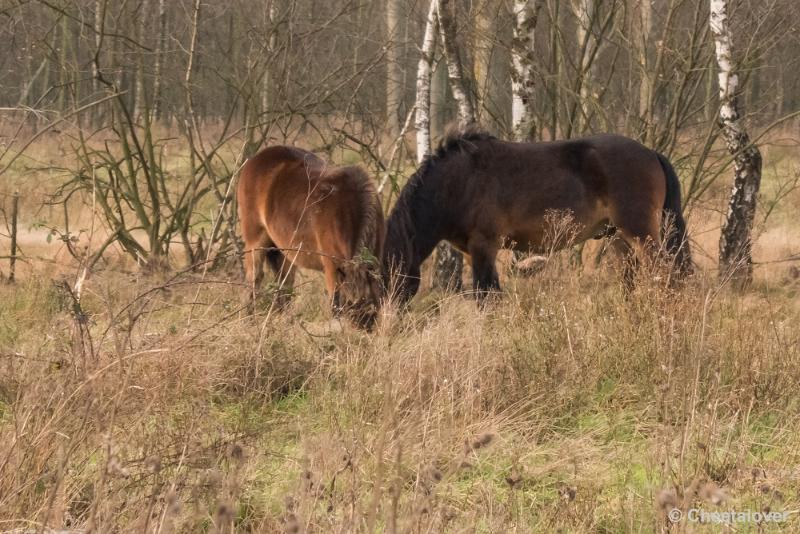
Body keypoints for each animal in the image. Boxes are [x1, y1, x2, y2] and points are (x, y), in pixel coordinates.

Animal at [238, 148, 384, 330]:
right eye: (351, 306)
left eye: (371, 307)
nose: (364, 330)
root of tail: (257, 158)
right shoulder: (332, 267)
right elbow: (335, 305)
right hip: (255, 243)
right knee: (254, 280)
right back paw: (249, 321)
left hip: (286, 252)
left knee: (284, 285)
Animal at [384, 127, 692, 304]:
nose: (381, 326)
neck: (458, 182)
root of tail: (651, 153)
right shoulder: (474, 253)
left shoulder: (485, 246)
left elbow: (488, 297)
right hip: (619, 239)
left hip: (640, 233)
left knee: (667, 276)